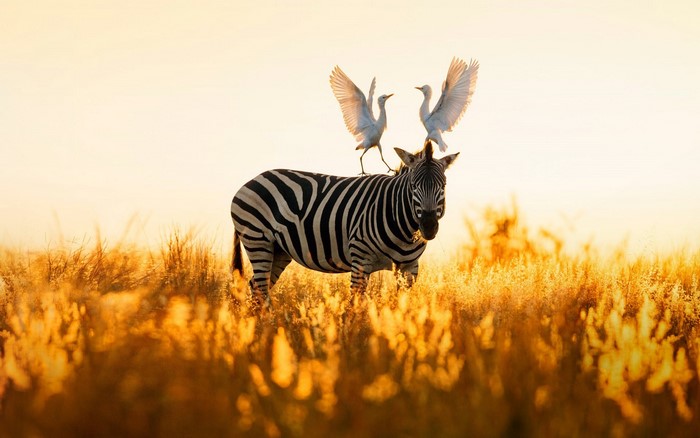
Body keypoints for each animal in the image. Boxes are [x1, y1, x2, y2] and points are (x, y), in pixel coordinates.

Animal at [230, 140, 458, 307]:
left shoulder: (409, 268)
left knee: (255, 287)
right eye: (413, 186)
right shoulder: (360, 259)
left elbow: (403, 309)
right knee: (260, 289)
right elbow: (354, 304)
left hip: (279, 250)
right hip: (258, 240)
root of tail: (252, 180)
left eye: (444, 186)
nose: (428, 226)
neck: (404, 230)